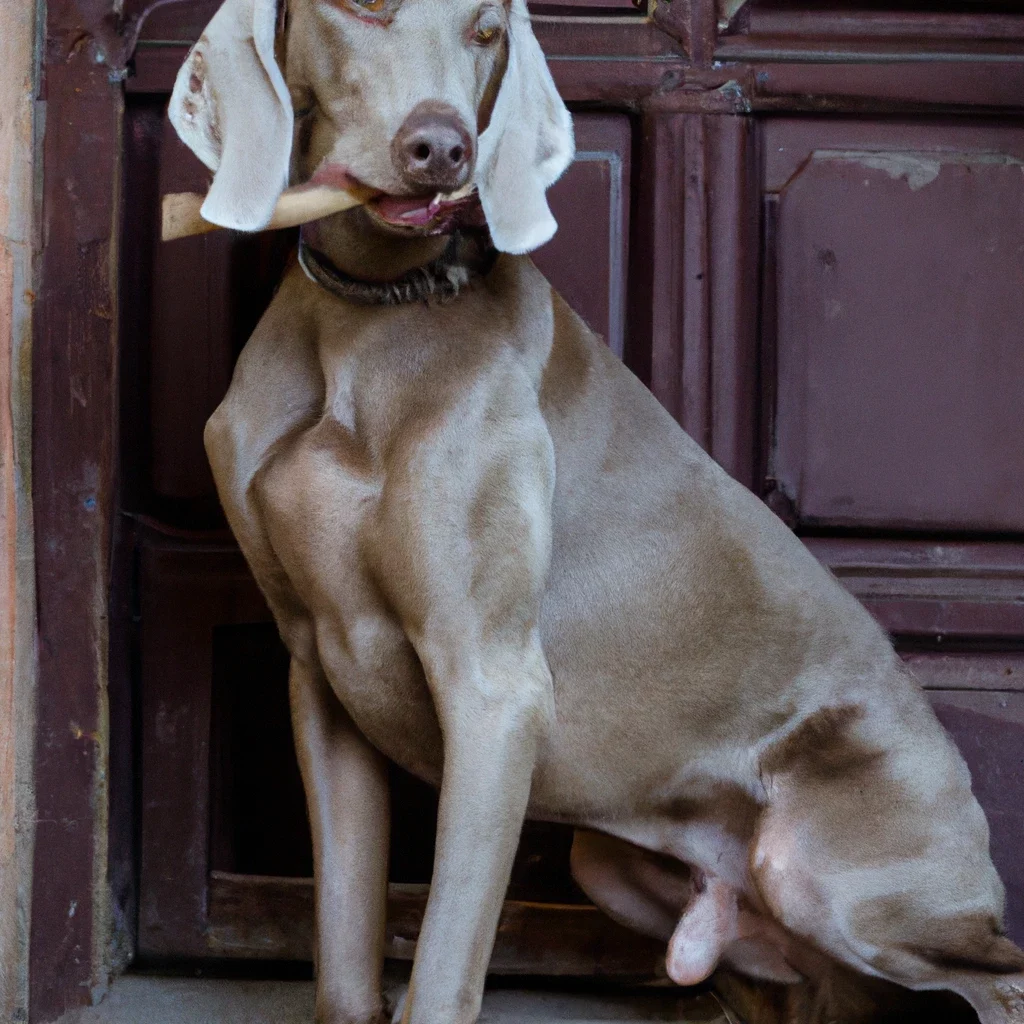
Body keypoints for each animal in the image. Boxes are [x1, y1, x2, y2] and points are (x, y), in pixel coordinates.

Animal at [169, 2, 1024, 1024]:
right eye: (365, 8)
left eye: (487, 30)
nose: (442, 149)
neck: (371, 315)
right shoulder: (317, 671)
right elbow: (343, 957)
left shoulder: (493, 687)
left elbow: (445, 965)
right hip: (622, 872)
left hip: (832, 871)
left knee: (997, 977)